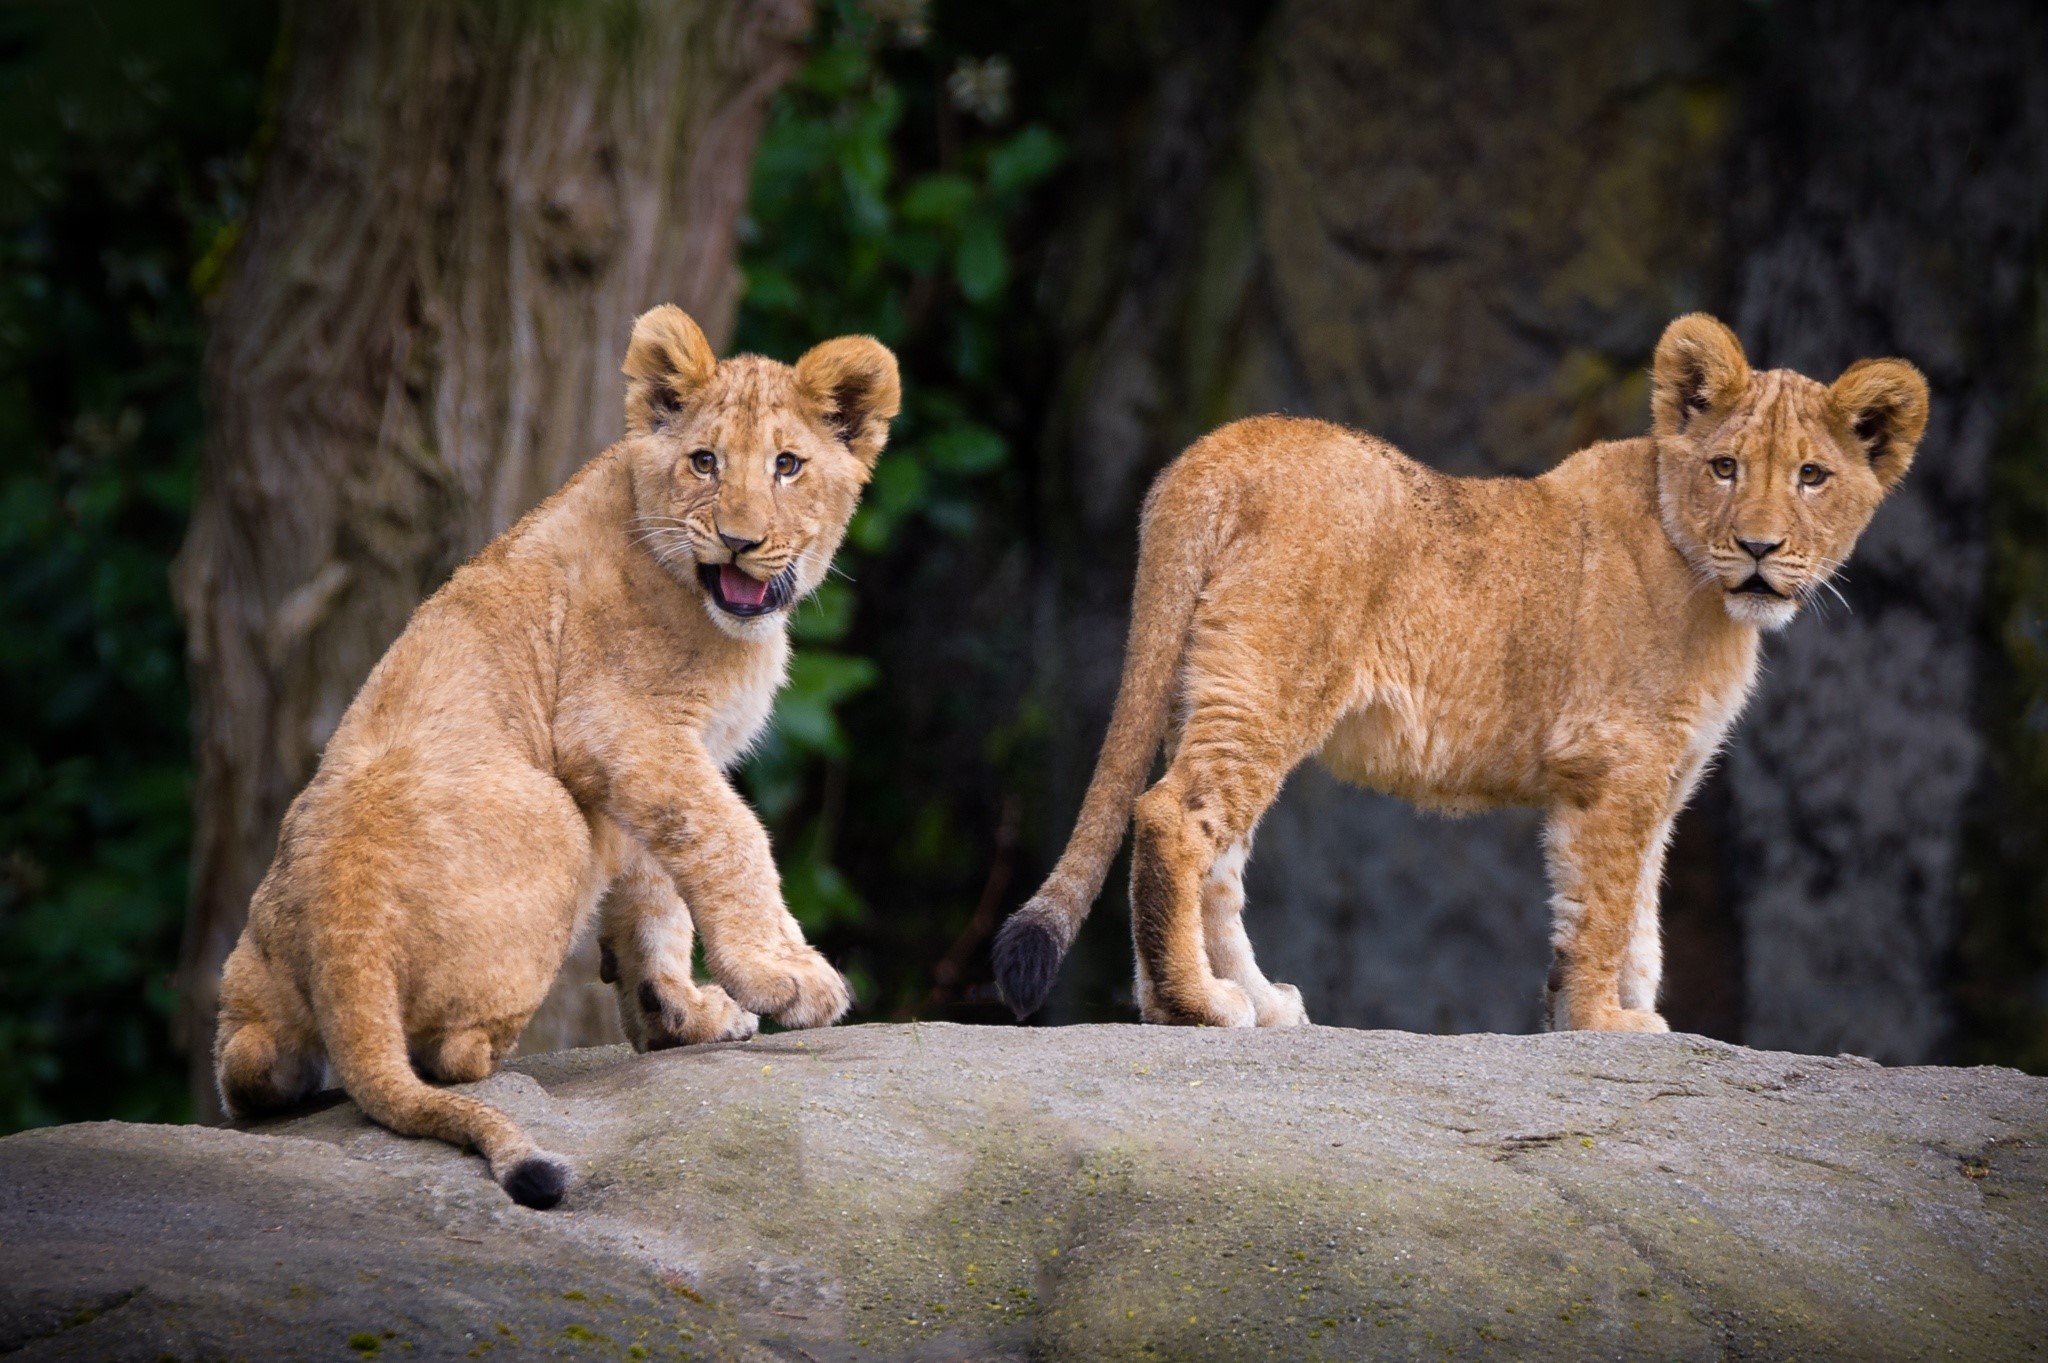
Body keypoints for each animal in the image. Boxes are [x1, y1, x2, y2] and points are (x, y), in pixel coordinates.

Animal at [213, 305, 897, 1207]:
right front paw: (784, 974)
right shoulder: (618, 728)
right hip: (556, 815)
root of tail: (343, 936)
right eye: (705, 461)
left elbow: (656, 892)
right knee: (447, 1061)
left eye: (788, 465)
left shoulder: (640, 769)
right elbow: (731, 838)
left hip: (258, 988)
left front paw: (677, 1013)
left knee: (247, 1066)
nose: (740, 541)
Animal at [993, 313, 1928, 1034]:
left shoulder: (1662, 780)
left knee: (1218, 856)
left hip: (1211, 686)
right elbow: (1605, 904)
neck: (1710, 590)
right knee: (1173, 817)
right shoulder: (1617, 762)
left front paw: (1623, 1011)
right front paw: (1602, 1022)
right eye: (1725, 467)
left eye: (1813, 476)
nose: (1760, 548)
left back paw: (1237, 999)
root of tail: (1215, 452)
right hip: (1269, 684)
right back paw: (1200, 1006)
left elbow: (1638, 915)